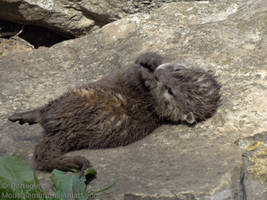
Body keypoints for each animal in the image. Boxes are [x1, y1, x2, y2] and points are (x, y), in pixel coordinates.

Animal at [8, 52, 222, 174]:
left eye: (171, 91)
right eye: (178, 69)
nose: (160, 75)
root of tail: (62, 130)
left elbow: (139, 77)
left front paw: (147, 74)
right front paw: (150, 60)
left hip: (69, 103)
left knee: (43, 127)